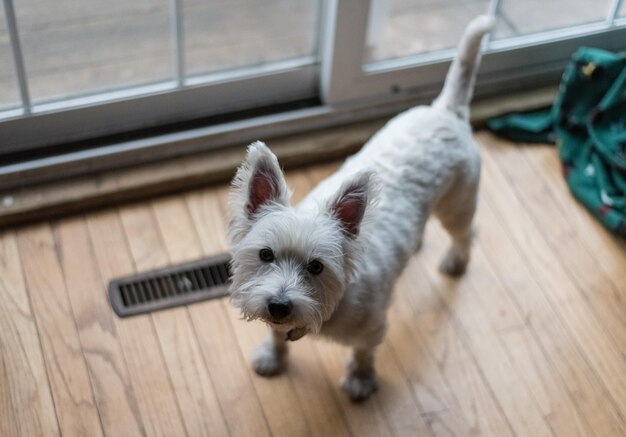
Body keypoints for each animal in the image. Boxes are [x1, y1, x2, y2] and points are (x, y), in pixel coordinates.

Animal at [228, 16, 492, 398]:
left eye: (317, 266)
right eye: (265, 255)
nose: (278, 306)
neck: (329, 305)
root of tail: (447, 110)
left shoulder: (372, 328)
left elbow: (364, 352)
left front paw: (360, 381)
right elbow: (276, 335)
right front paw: (272, 356)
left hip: (457, 204)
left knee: (465, 232)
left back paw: (456, 262)